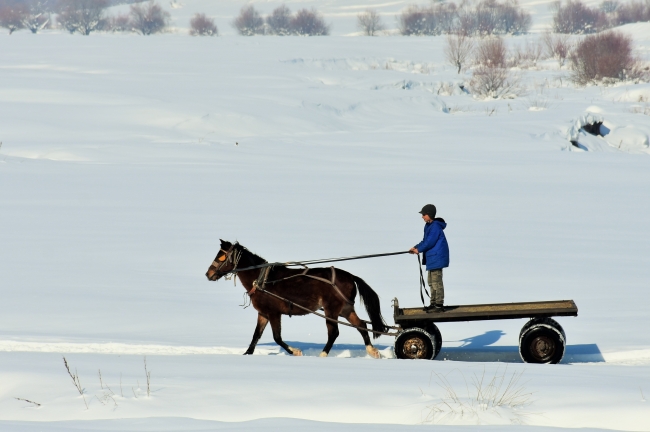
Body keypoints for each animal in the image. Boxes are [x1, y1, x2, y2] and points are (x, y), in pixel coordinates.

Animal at [205, 240, 384, 358]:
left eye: (221, 257)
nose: (208, 274)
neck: (262, 280)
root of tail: (350, 276)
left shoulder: (274, 313)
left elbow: (277, 337)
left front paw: (296, 351)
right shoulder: (263, 313)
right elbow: (256, 335)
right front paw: (247, 353)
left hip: (331, 309)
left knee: (334, 332)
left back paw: (323, 354)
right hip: (345, 309)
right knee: (361, 326)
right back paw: (372, 351)